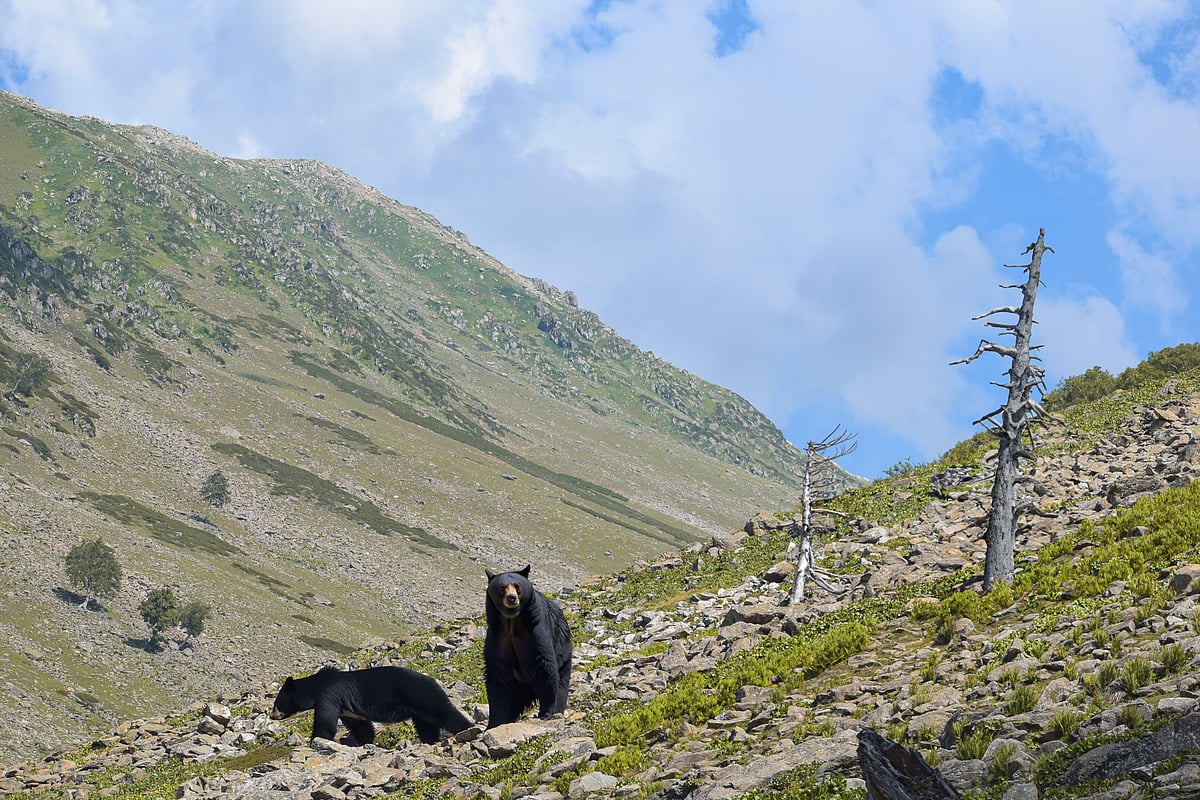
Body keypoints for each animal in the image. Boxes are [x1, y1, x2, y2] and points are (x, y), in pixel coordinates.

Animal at [269, 665, 473, 745]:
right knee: (426, 725)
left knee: (444, 712)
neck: (315, 687)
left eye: (277, 703)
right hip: (419, 709)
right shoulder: (347, 710)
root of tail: (432, 680)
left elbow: (325, 724)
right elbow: (362, 727)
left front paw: (317, 741)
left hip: (421, 694)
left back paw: (468, 729)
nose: (272, 716)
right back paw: (430, 740)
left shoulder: (329, 696)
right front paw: (365, 742)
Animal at [483, 564, 573, 727]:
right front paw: (495, 722)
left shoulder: (535, 629)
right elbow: (499, 676)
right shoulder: (497, 636)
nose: (511, 598)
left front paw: (546, 712)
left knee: (561, 687)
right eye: (502, 587)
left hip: (564, 660)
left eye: (517, 586)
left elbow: (544, 664)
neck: (511, 622)